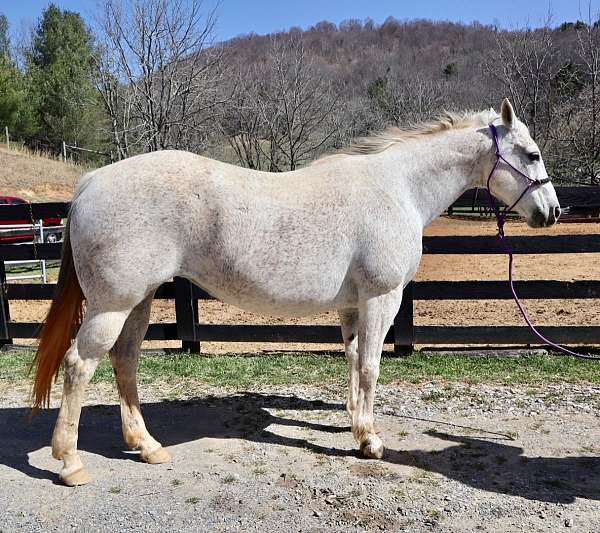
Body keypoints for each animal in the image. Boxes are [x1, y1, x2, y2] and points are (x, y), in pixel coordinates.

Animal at [31, 97, 556, 484]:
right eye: (531, 154)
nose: (552, 212)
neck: (398, 188)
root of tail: (91, 181)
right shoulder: (381, 299)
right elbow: (370, 366)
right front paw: (370, 441)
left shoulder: (351, 306)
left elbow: (351, 361)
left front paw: (353, 423)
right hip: (111, 305)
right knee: (79, 365)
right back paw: (71, 463)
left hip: (138, 301)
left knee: (124, 362)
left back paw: (147, 447)